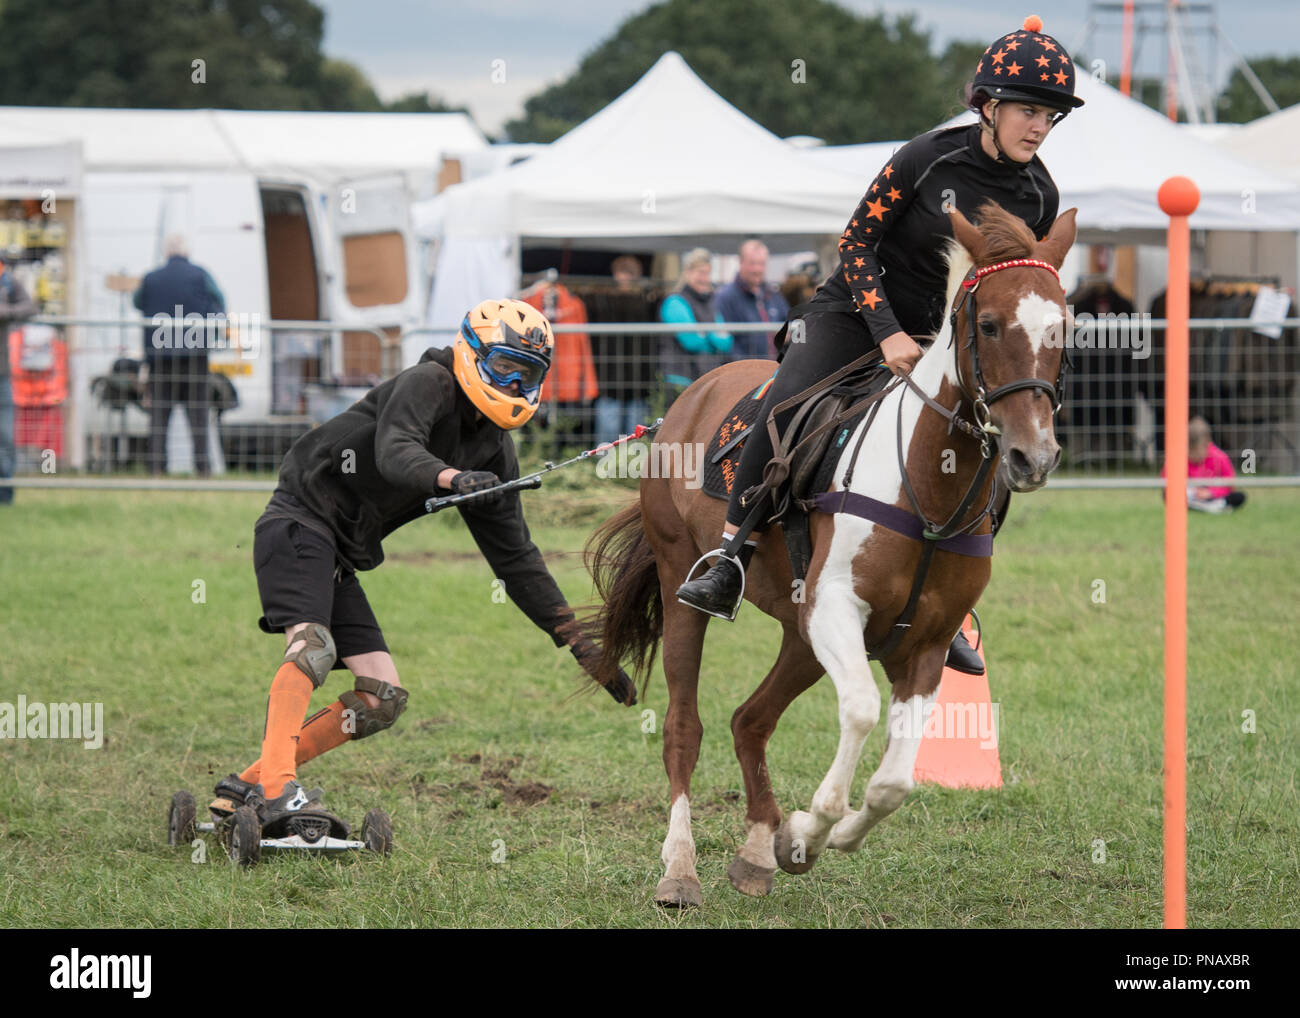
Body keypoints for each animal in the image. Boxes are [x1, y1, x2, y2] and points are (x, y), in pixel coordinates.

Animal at [585, 201, 1071, 910]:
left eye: (1064, 327)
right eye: (988, 324)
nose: (1032, 456)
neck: (924, 484)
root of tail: (689, 398)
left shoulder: (924, 643)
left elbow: (894, 781)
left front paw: (810, 839)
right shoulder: (837, 606)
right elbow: (862, 711)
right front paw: (812, 826)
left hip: (801, 633)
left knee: (749, 721)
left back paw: (758, 851)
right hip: (690, 587)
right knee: (684, 726)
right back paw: (679, 869)